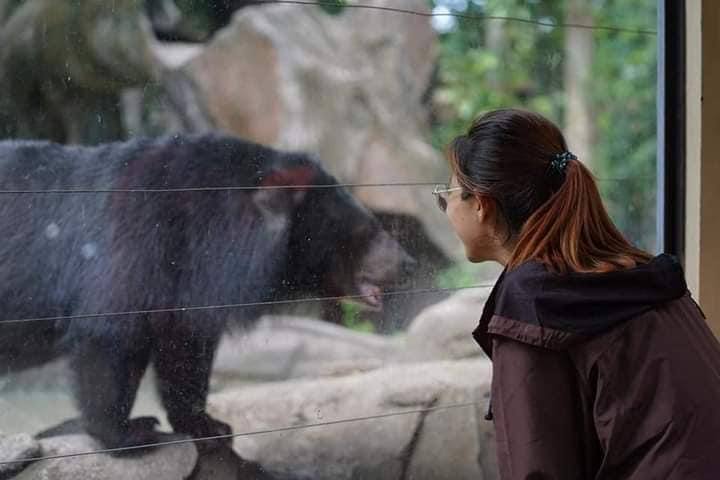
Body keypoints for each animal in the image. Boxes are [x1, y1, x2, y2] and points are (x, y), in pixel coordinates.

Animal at [0, 132, 415, 451]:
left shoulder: (187, 282)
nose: (409, 264)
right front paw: (131, 433)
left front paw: (209, 426)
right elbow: (110, 333)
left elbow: (184, 347)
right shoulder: (132, 244)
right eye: (368, 230)